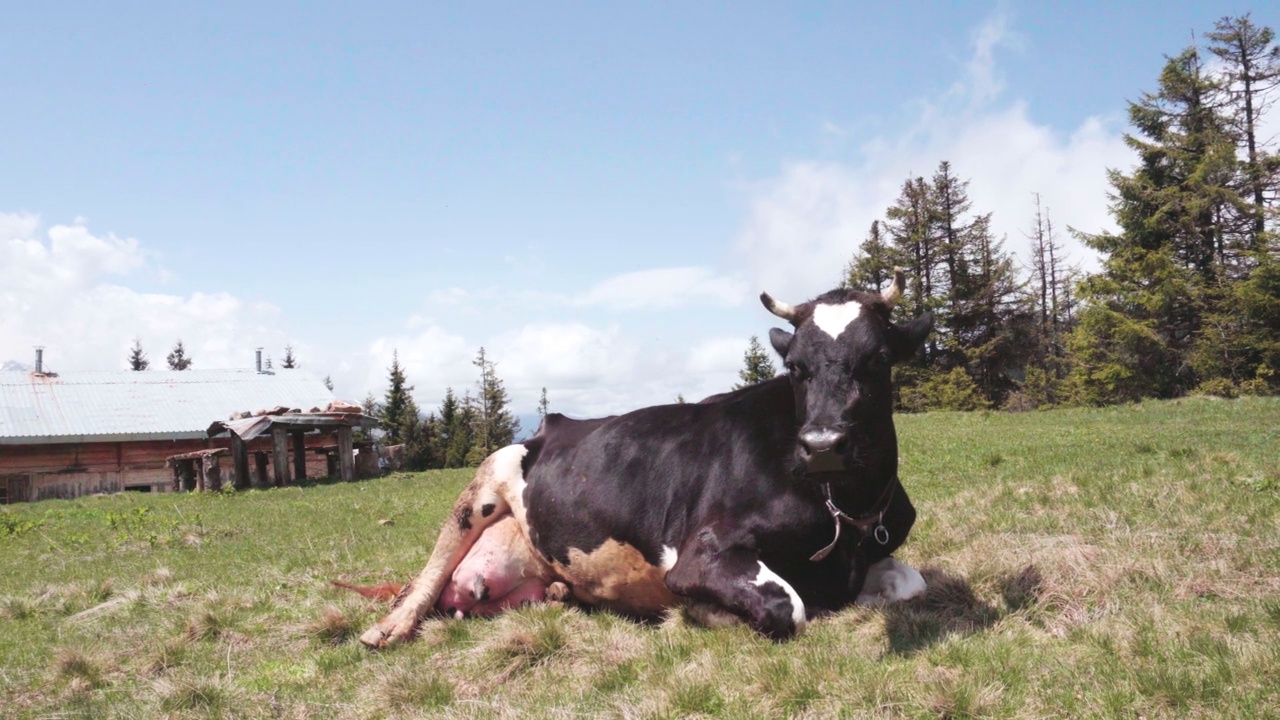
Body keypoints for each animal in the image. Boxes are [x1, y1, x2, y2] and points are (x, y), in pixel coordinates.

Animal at [358, 270, 931, 645]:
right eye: (795, 367)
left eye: (879, 358)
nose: (822, 446)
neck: (844, 510)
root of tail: (552, 425)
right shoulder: (700, 551)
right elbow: (786, 606)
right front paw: (701, 612)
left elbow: (912, 584)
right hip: (487, 476)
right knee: (429, 573)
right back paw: (387, 629)